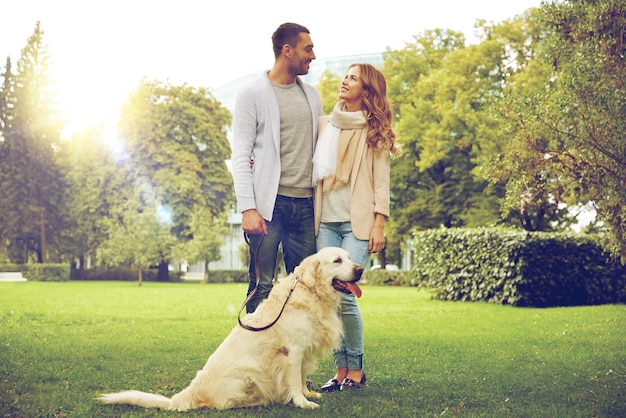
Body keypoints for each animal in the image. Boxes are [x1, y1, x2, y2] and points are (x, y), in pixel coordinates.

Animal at [97, 247, 360, 410]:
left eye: (349, 257)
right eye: (337, 260)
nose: (359, 269)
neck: (311, 292)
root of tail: (187, 393)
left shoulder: (304, 351)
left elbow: (302, 377)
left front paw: (307, 394)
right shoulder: (293, 351)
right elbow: (294, 380)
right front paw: (302, 403)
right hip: (247, 375)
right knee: (223, 404)